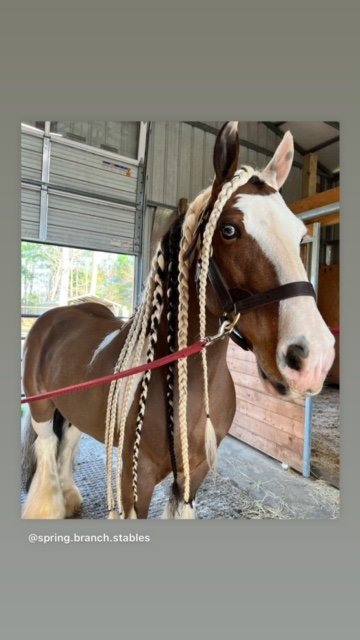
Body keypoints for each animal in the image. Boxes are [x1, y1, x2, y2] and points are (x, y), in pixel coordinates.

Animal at [21, 121, 336, 520]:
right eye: (229, 230)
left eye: (299, 234)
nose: (314, 358)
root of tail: (54, 316)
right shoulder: (135, 480)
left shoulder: (192, 474)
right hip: (41, 407)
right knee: (47, 449)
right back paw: (48, 506)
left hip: (74, 409)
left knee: (67, 444)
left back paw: (70, 497)